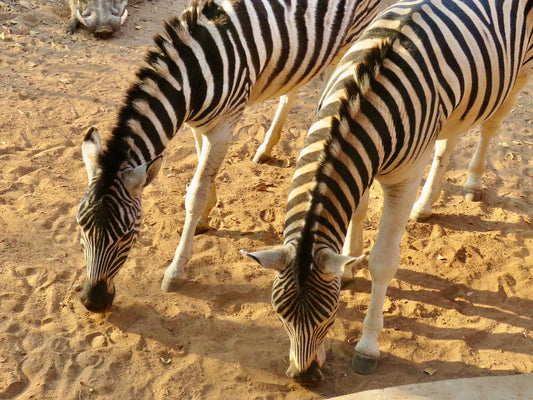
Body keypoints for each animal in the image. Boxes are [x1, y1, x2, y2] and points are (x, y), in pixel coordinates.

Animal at [76, 0, 382, 312]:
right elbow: (202, 172)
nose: (92, 301)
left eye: (126, 234)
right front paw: (204, 217)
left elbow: (195, 191)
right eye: (81, 227)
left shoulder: (223, 127)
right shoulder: (199, 124)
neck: (193, 76)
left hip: (353, 38)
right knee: (293, 89)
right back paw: (266, 147)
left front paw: (176, 268)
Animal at [242, 0, 532, 384]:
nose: (304, 378)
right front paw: (349, 262)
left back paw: (472, 183)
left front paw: (367, 346)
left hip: (521, 73)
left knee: (491, 125)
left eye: (330, 316)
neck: (362, 98)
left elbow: (382, 262)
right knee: (449, 140)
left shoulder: (403, 180)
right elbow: (357, 212)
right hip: (456, 104)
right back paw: (426, 204)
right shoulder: (358, 166)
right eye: (279, 314)